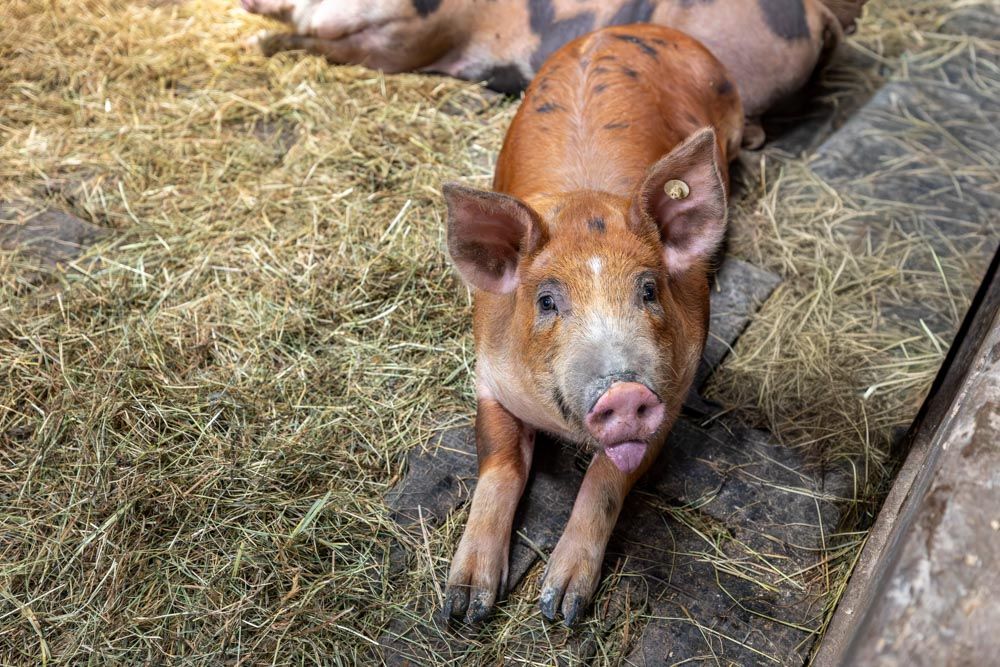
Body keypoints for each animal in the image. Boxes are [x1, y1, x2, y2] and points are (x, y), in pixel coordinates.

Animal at [439, 24, 744, 625]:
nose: (624, 392)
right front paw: (463, 607)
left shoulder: (671, 398)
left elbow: (607, 477)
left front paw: (560, 607)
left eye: (648, 289)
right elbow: (499, 463)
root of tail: (639, 27)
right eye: (547, 301)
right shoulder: (488, 377)